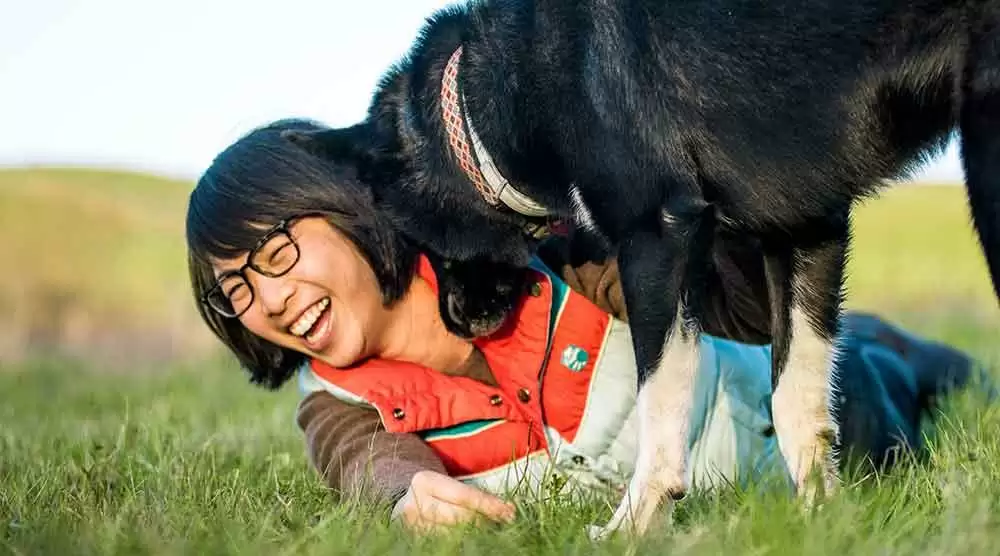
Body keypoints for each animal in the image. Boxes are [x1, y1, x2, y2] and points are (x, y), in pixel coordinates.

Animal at [286, 0, 1000, 540]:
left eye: (412, 245)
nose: (462, 321)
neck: (499, 93)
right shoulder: (806, 228)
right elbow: (797, 402)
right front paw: (821, 522)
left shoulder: (654, 237)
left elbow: (661, 403)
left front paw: (631, 527)